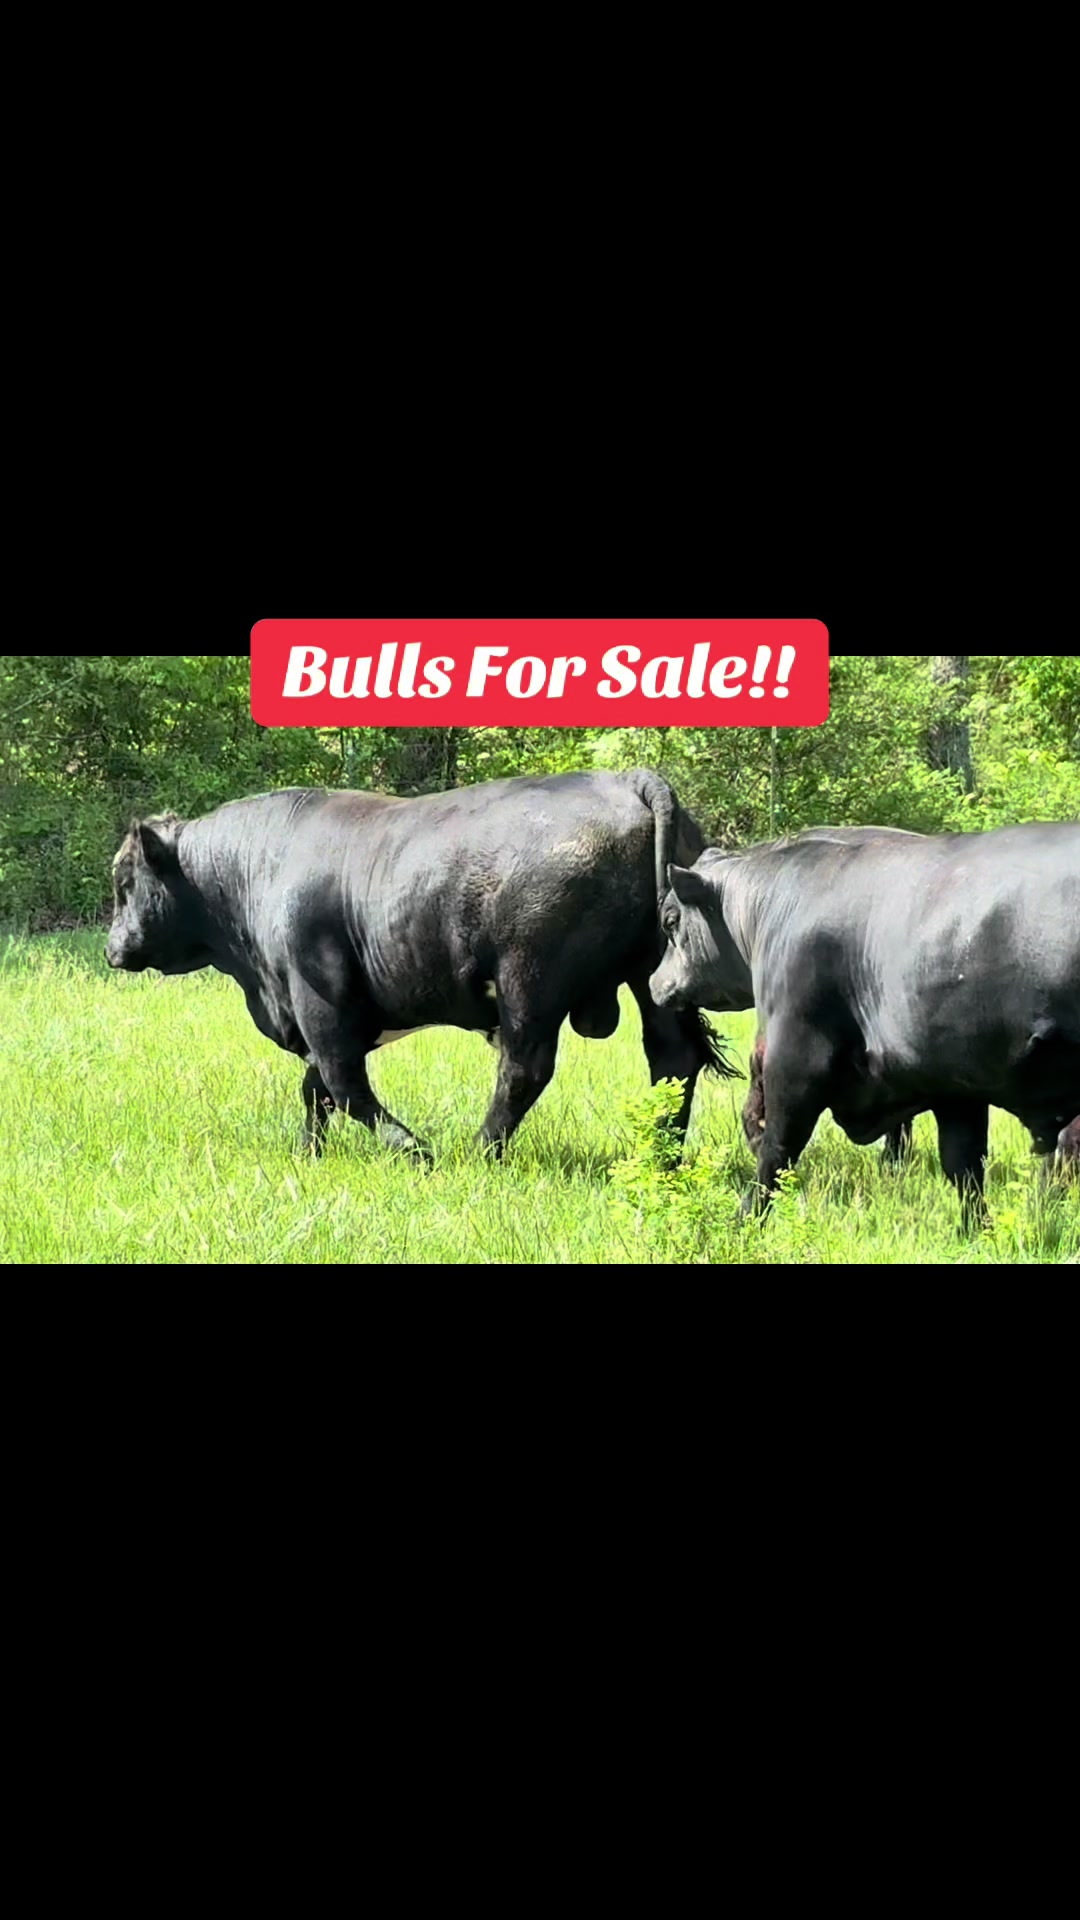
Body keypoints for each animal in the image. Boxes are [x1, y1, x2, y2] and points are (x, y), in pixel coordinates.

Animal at [105, 771, 737, 1161]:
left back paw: (478, 1153)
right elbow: (316, 1089)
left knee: (523, 1069)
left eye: (124, 885)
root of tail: (626, 778)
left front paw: (412, 1150)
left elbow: (342, 1083)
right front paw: (310, 1153)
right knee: (672, 1061)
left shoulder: (319, 998)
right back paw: (660, 1156)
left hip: (528, 982)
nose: (113, 948)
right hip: (656, 977)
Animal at [648, 821, 1080, 1225]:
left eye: (670, 921)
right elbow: (964, 1168)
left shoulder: (794, 1059)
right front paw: (975, 1232)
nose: (654, 982)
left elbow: (777, 1150)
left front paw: (744, 1221)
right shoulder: (955, 1085)